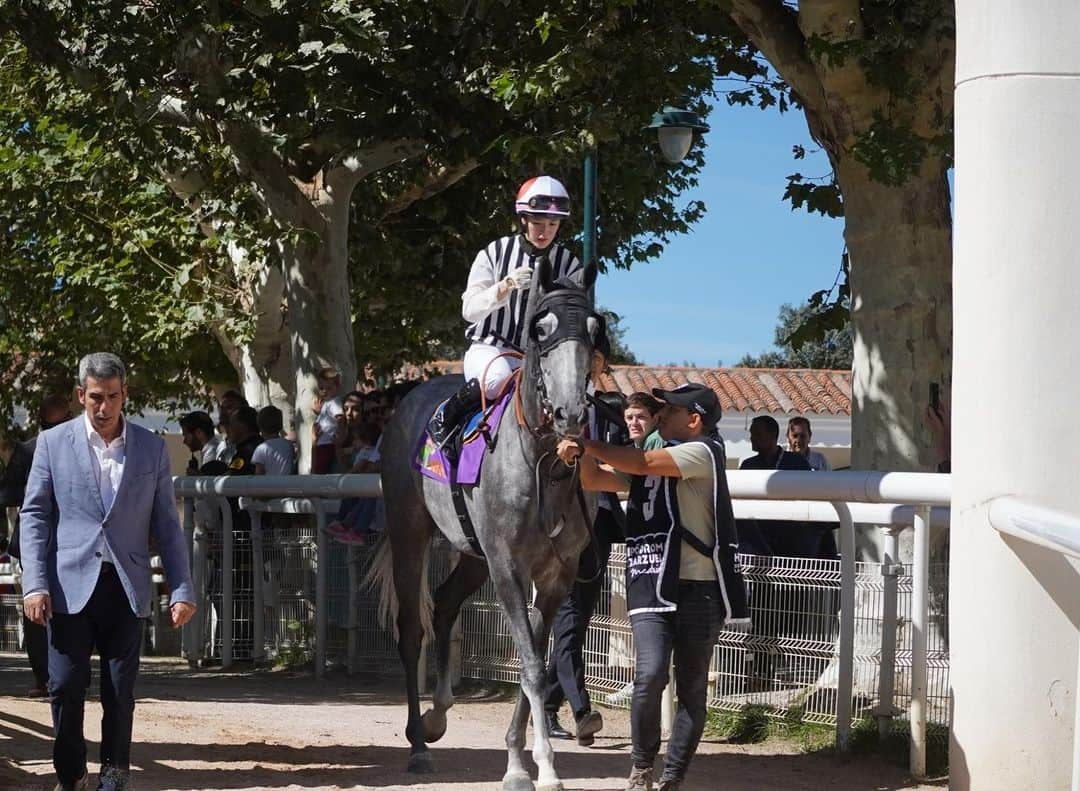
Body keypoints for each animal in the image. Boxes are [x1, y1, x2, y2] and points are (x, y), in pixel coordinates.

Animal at [371, 259, 604, 791]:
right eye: (542, 328)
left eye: (594, 330)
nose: (571, 413)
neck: (542, 464)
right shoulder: (508, 568)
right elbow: (533, 666)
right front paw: (534, 768)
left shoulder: (555, 575)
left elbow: (533, 660)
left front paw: (521, 757)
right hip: (411, 530)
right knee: (411, 627)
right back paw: (418, 744)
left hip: (474, 554)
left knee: (444, 605)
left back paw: (436, 717)